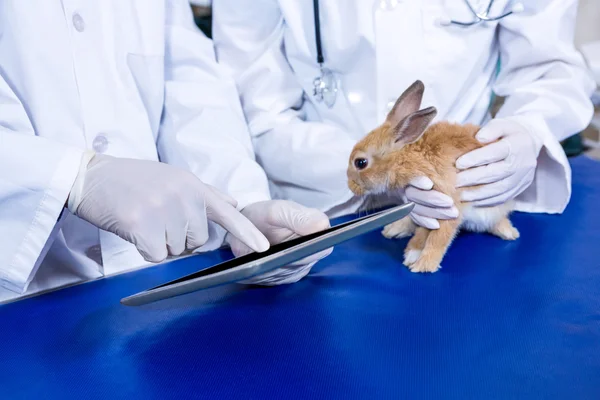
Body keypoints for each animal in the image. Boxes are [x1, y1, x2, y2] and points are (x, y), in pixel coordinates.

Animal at [344, 79, 516, 274]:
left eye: (360, 163)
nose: (351, 186)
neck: (405, 157)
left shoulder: (449, 206)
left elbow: (438, 238)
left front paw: (423, 264)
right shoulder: (427, 208)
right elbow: (424, 231)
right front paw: (413, 252)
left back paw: (509, 233)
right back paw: (393, 229)